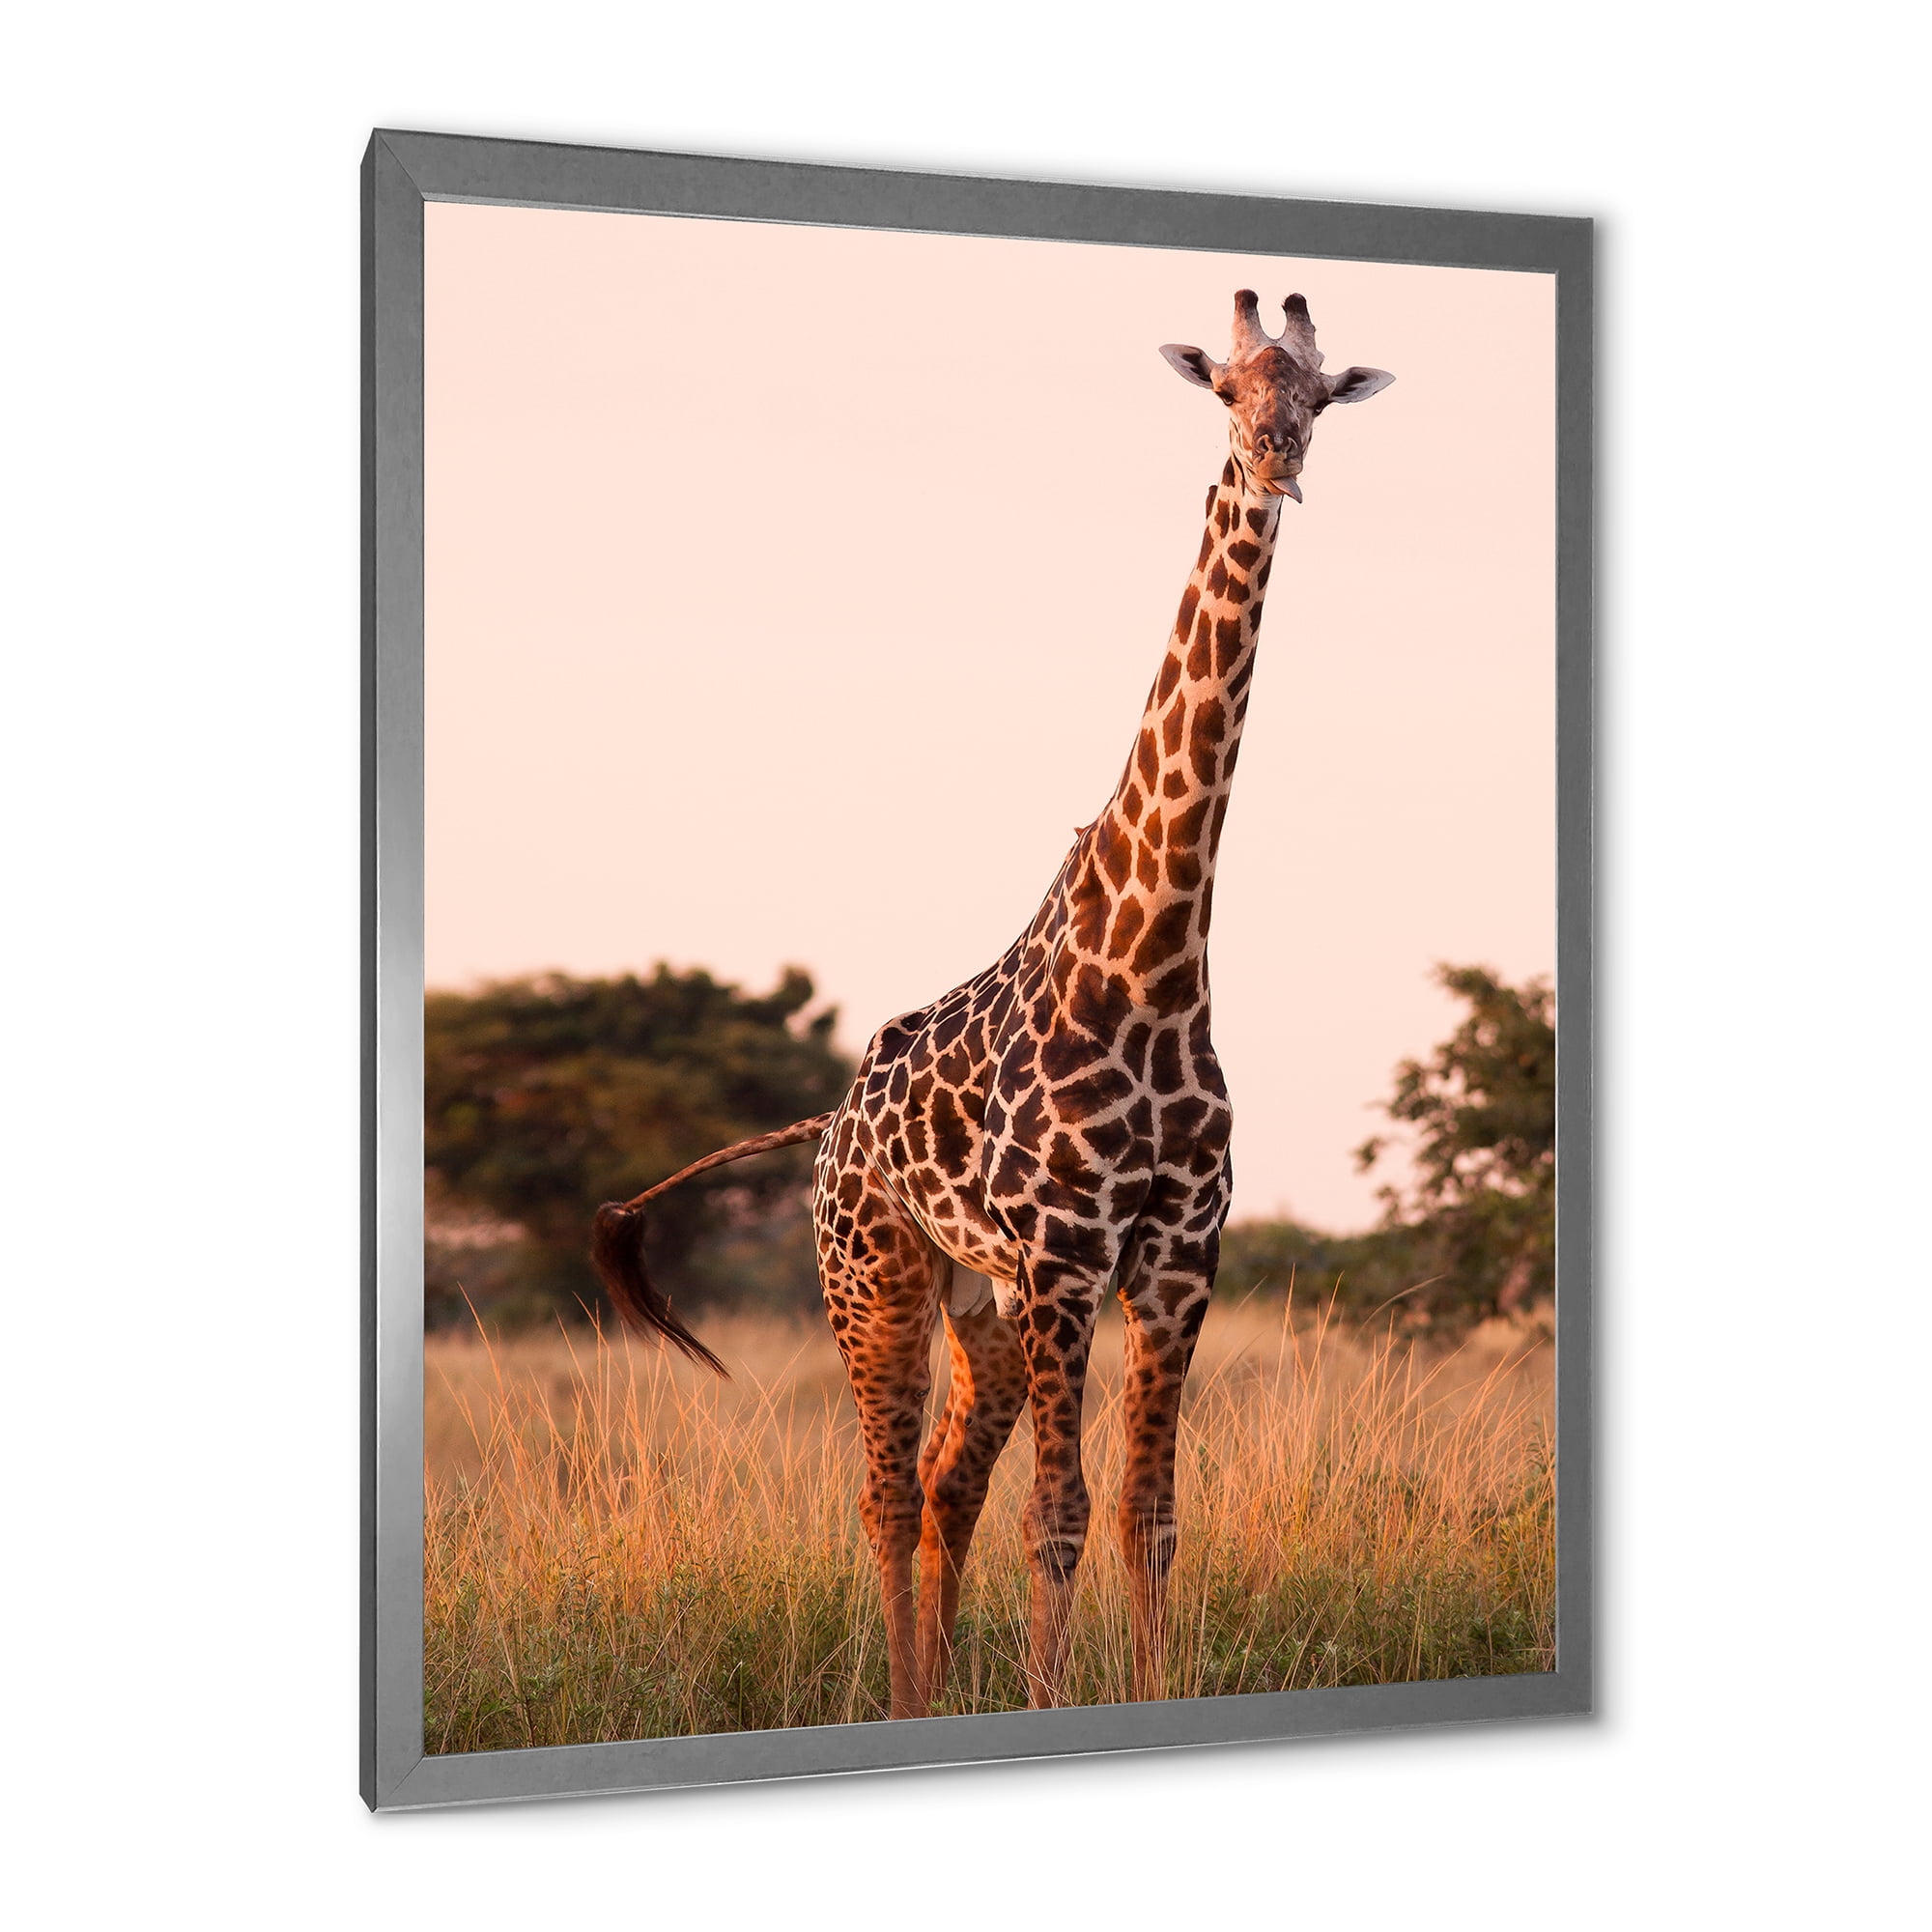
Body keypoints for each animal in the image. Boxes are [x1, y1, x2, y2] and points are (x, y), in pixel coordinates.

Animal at [592, 290, 1393, 1718]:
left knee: (944, 1489)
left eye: (1313, 396)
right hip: (877, 1280)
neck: (1155, 969)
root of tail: (827, 1127)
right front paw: (1047, 1699)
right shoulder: (1067, 1259)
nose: (1274, 464)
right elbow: (1058, 1515)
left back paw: (928, 1690)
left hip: (985, 1309)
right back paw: (908, 1698)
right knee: (886, 1493)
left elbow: (1147, 1516)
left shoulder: (1173, 1260)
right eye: (1224, 390)